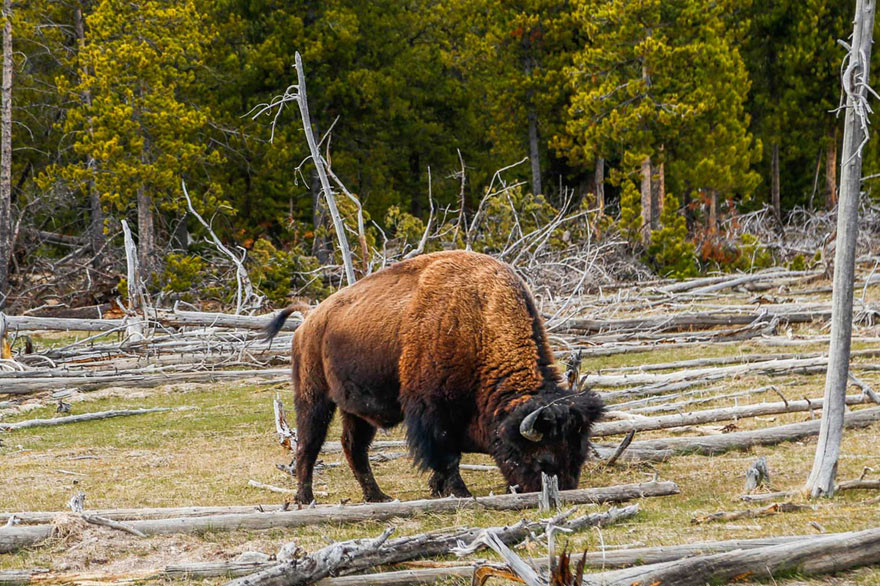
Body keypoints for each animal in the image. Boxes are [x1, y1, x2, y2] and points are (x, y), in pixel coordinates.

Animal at [263, 250, 604, 503]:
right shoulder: (433, 411)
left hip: (354, 410)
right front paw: (459, 492)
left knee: (353, 447)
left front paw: (439, 490)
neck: (479, 323)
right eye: (543, 459)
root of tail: (310, 318)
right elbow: (446, 454)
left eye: (579, 453)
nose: (563, 491)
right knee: (308, 445)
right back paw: (306, 498)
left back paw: (378, 497)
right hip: (314, 397)